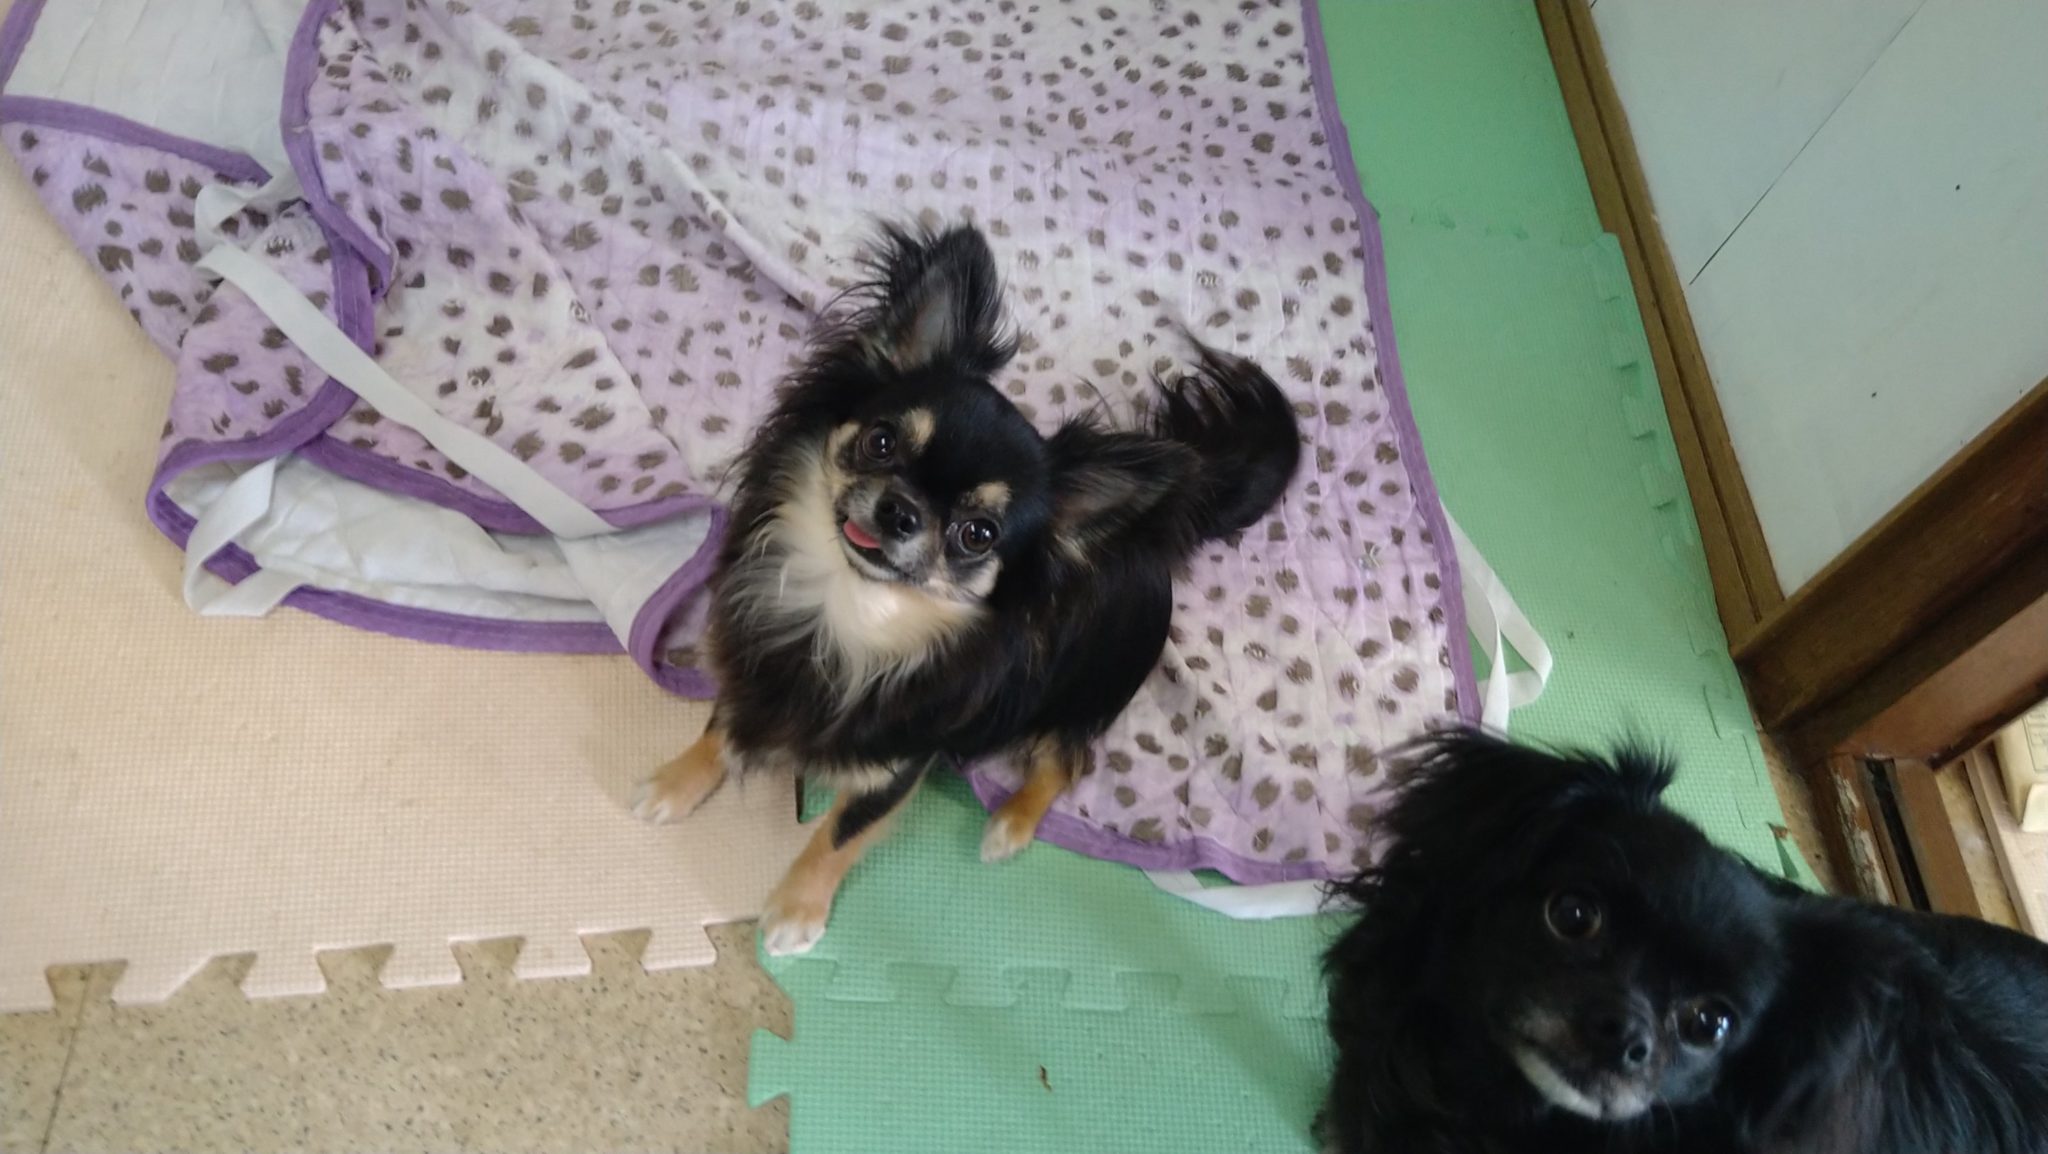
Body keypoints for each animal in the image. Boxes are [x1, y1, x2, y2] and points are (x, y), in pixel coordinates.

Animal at [632, 224, 1300, 955]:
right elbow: (720, 728)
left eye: (978, 534)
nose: (900, 511)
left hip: (1079, 696)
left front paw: (795, 911)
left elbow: (840, 834)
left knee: (1068, 761)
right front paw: (675, 783)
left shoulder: (897, 762)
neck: (847, 610)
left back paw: (1011, 823)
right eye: (881, 441)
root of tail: (1155, 534)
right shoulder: (750, 663)